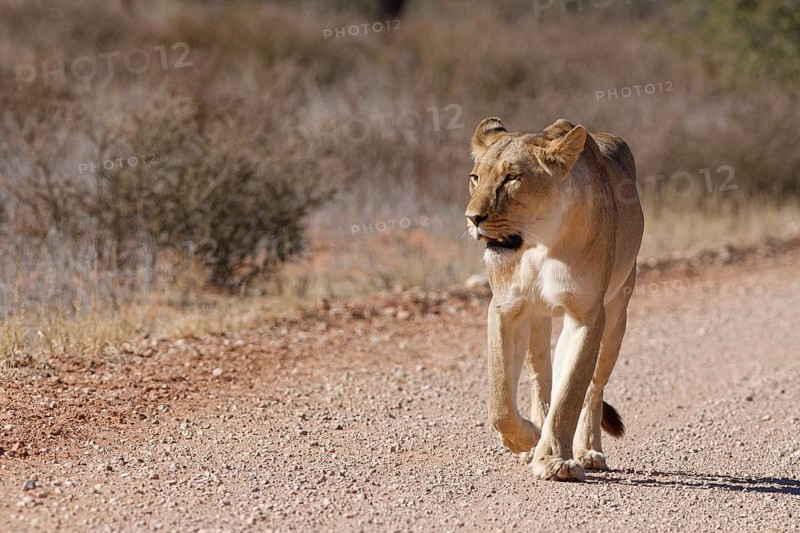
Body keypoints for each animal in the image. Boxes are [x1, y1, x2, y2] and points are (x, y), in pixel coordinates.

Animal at [465, 117, 644, 481]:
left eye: (511, 178)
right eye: (475, 177)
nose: (472, 218)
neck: (540, 243)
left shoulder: (588, 315)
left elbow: (571, 392)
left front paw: (554, 460)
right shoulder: (506, 307)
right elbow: (500, 400)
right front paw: (526, 439)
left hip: (618, 314)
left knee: (594, 388)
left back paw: (587, 450)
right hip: (538, 319)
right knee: (541, 378)